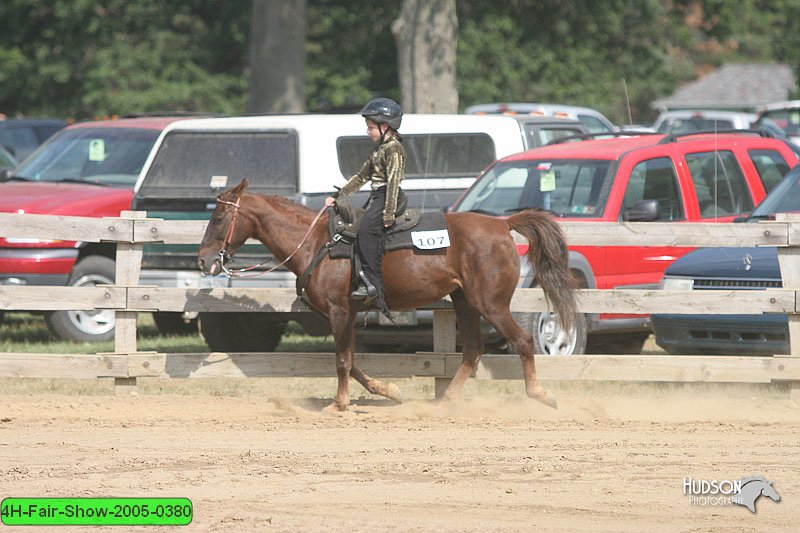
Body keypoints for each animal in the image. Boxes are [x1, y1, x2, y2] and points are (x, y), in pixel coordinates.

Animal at [198, 180, 576, 412]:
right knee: (473, 349)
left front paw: (338, 404)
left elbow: (342, 360)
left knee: (522, 340)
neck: (317, 242)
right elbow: (351, 361)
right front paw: (388, 390)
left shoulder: (338, 311)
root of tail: (502, 224)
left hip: (491, 303)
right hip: (465, 301)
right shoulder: (348, 314)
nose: (203, 260)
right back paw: (446, 402)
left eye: (219, 217)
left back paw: (541, 394)